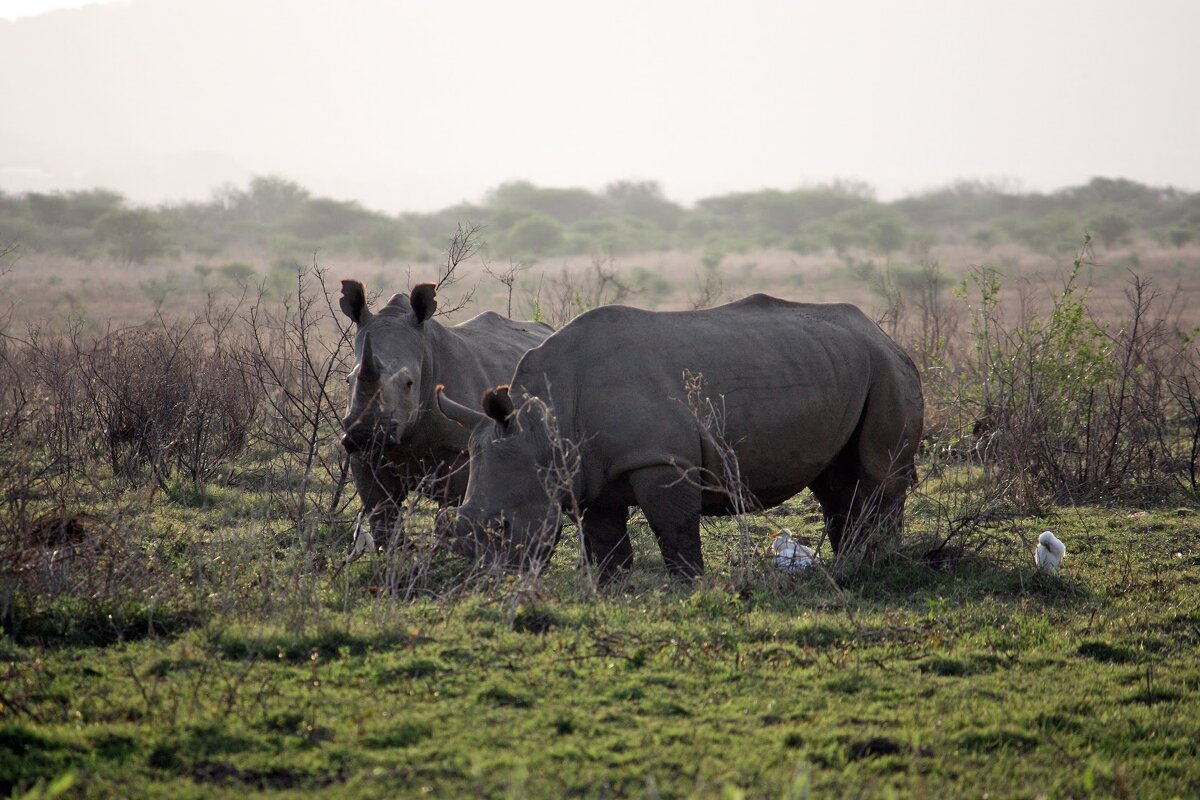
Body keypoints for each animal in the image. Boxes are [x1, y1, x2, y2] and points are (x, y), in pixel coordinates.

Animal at [338, 278, 552, 554]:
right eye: (348, 380)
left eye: (409, 383)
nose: (365, 434)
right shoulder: (366, 454)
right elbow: (382, 511)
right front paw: (399, 555)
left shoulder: (461, 449)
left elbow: (453, 507)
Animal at [436, 293, 921, 582]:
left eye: (504, 526)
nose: (492, 582)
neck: (542, 427)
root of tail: (887, 335)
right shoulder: (589, 472)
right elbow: (604, 538)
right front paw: (612, 586)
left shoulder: (661, 459)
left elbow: (675, 527)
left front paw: (688, 584)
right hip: (839, 363)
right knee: (834, 482)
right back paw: (850, 564)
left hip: (886, 367)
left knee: (877, 473)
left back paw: (878, 565)